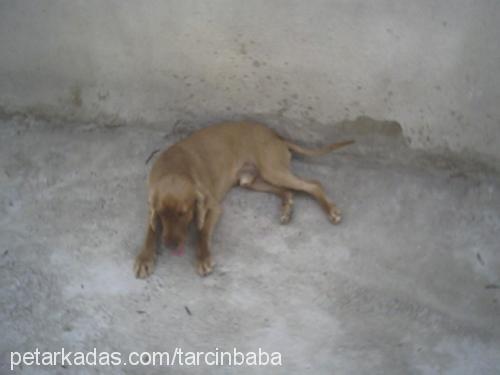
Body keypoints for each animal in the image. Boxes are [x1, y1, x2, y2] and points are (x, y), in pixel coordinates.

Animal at [133, 122, 352, 278]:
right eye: (162, 214)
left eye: (183, 213)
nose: (170, 246)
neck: (174, 167)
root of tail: (276, 135)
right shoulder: (151, 208)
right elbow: (150, 232)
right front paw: (144, 258)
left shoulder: (214, 207)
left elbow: (202, 232)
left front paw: (203, 258)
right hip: (252, 180)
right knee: (288, 192)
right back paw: (286, 209)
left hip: (272, 170)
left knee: (313, 185)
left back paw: (331, 211)